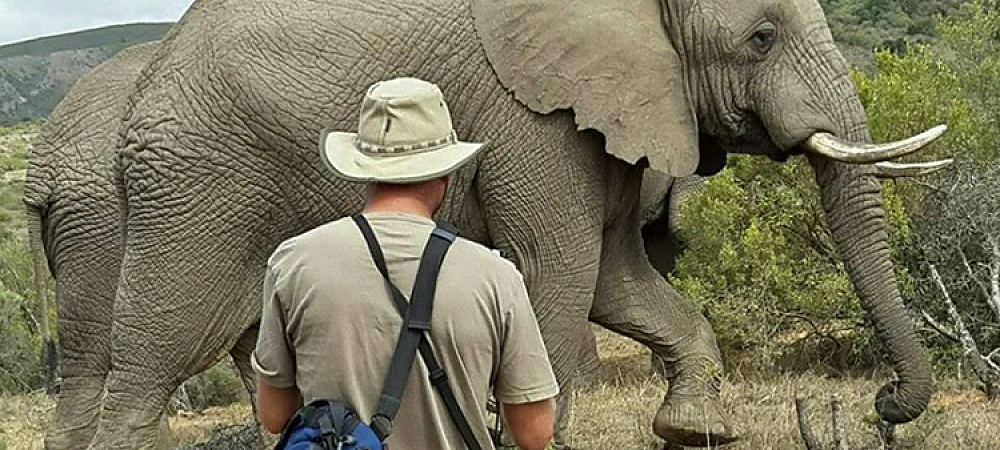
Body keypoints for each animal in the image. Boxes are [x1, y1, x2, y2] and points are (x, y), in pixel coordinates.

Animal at [55, 0, 949, 448]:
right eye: (761, 37)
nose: (884, 406)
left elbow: (619, 282)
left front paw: (693, 429)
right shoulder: (533, 120)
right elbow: (560, 271)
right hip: (196, 181)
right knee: (158, 349)